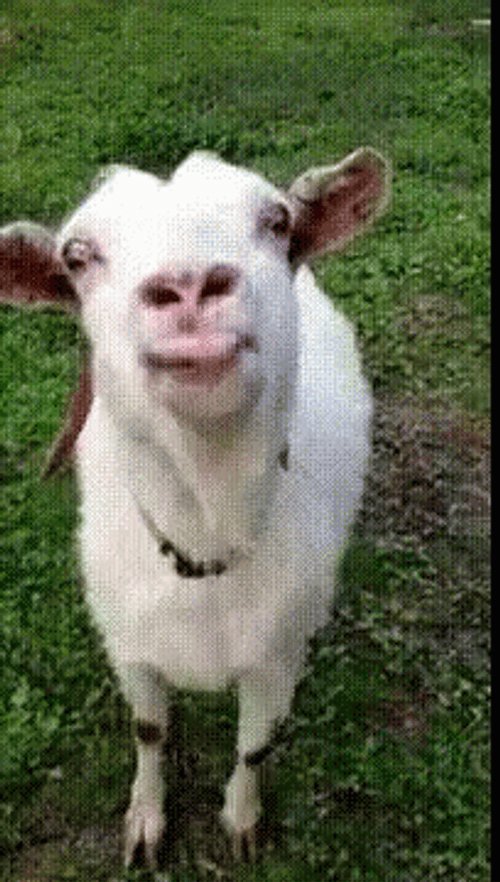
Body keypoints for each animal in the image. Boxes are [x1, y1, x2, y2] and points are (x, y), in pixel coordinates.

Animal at [0, 148, 390, 868]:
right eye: (77, 255)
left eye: (276, 221)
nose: (188, 285)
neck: (207, 533)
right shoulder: (129, 646)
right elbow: (149, 731)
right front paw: (145, 823)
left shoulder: (276, 656)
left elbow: (255, 745)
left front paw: (242, 820)